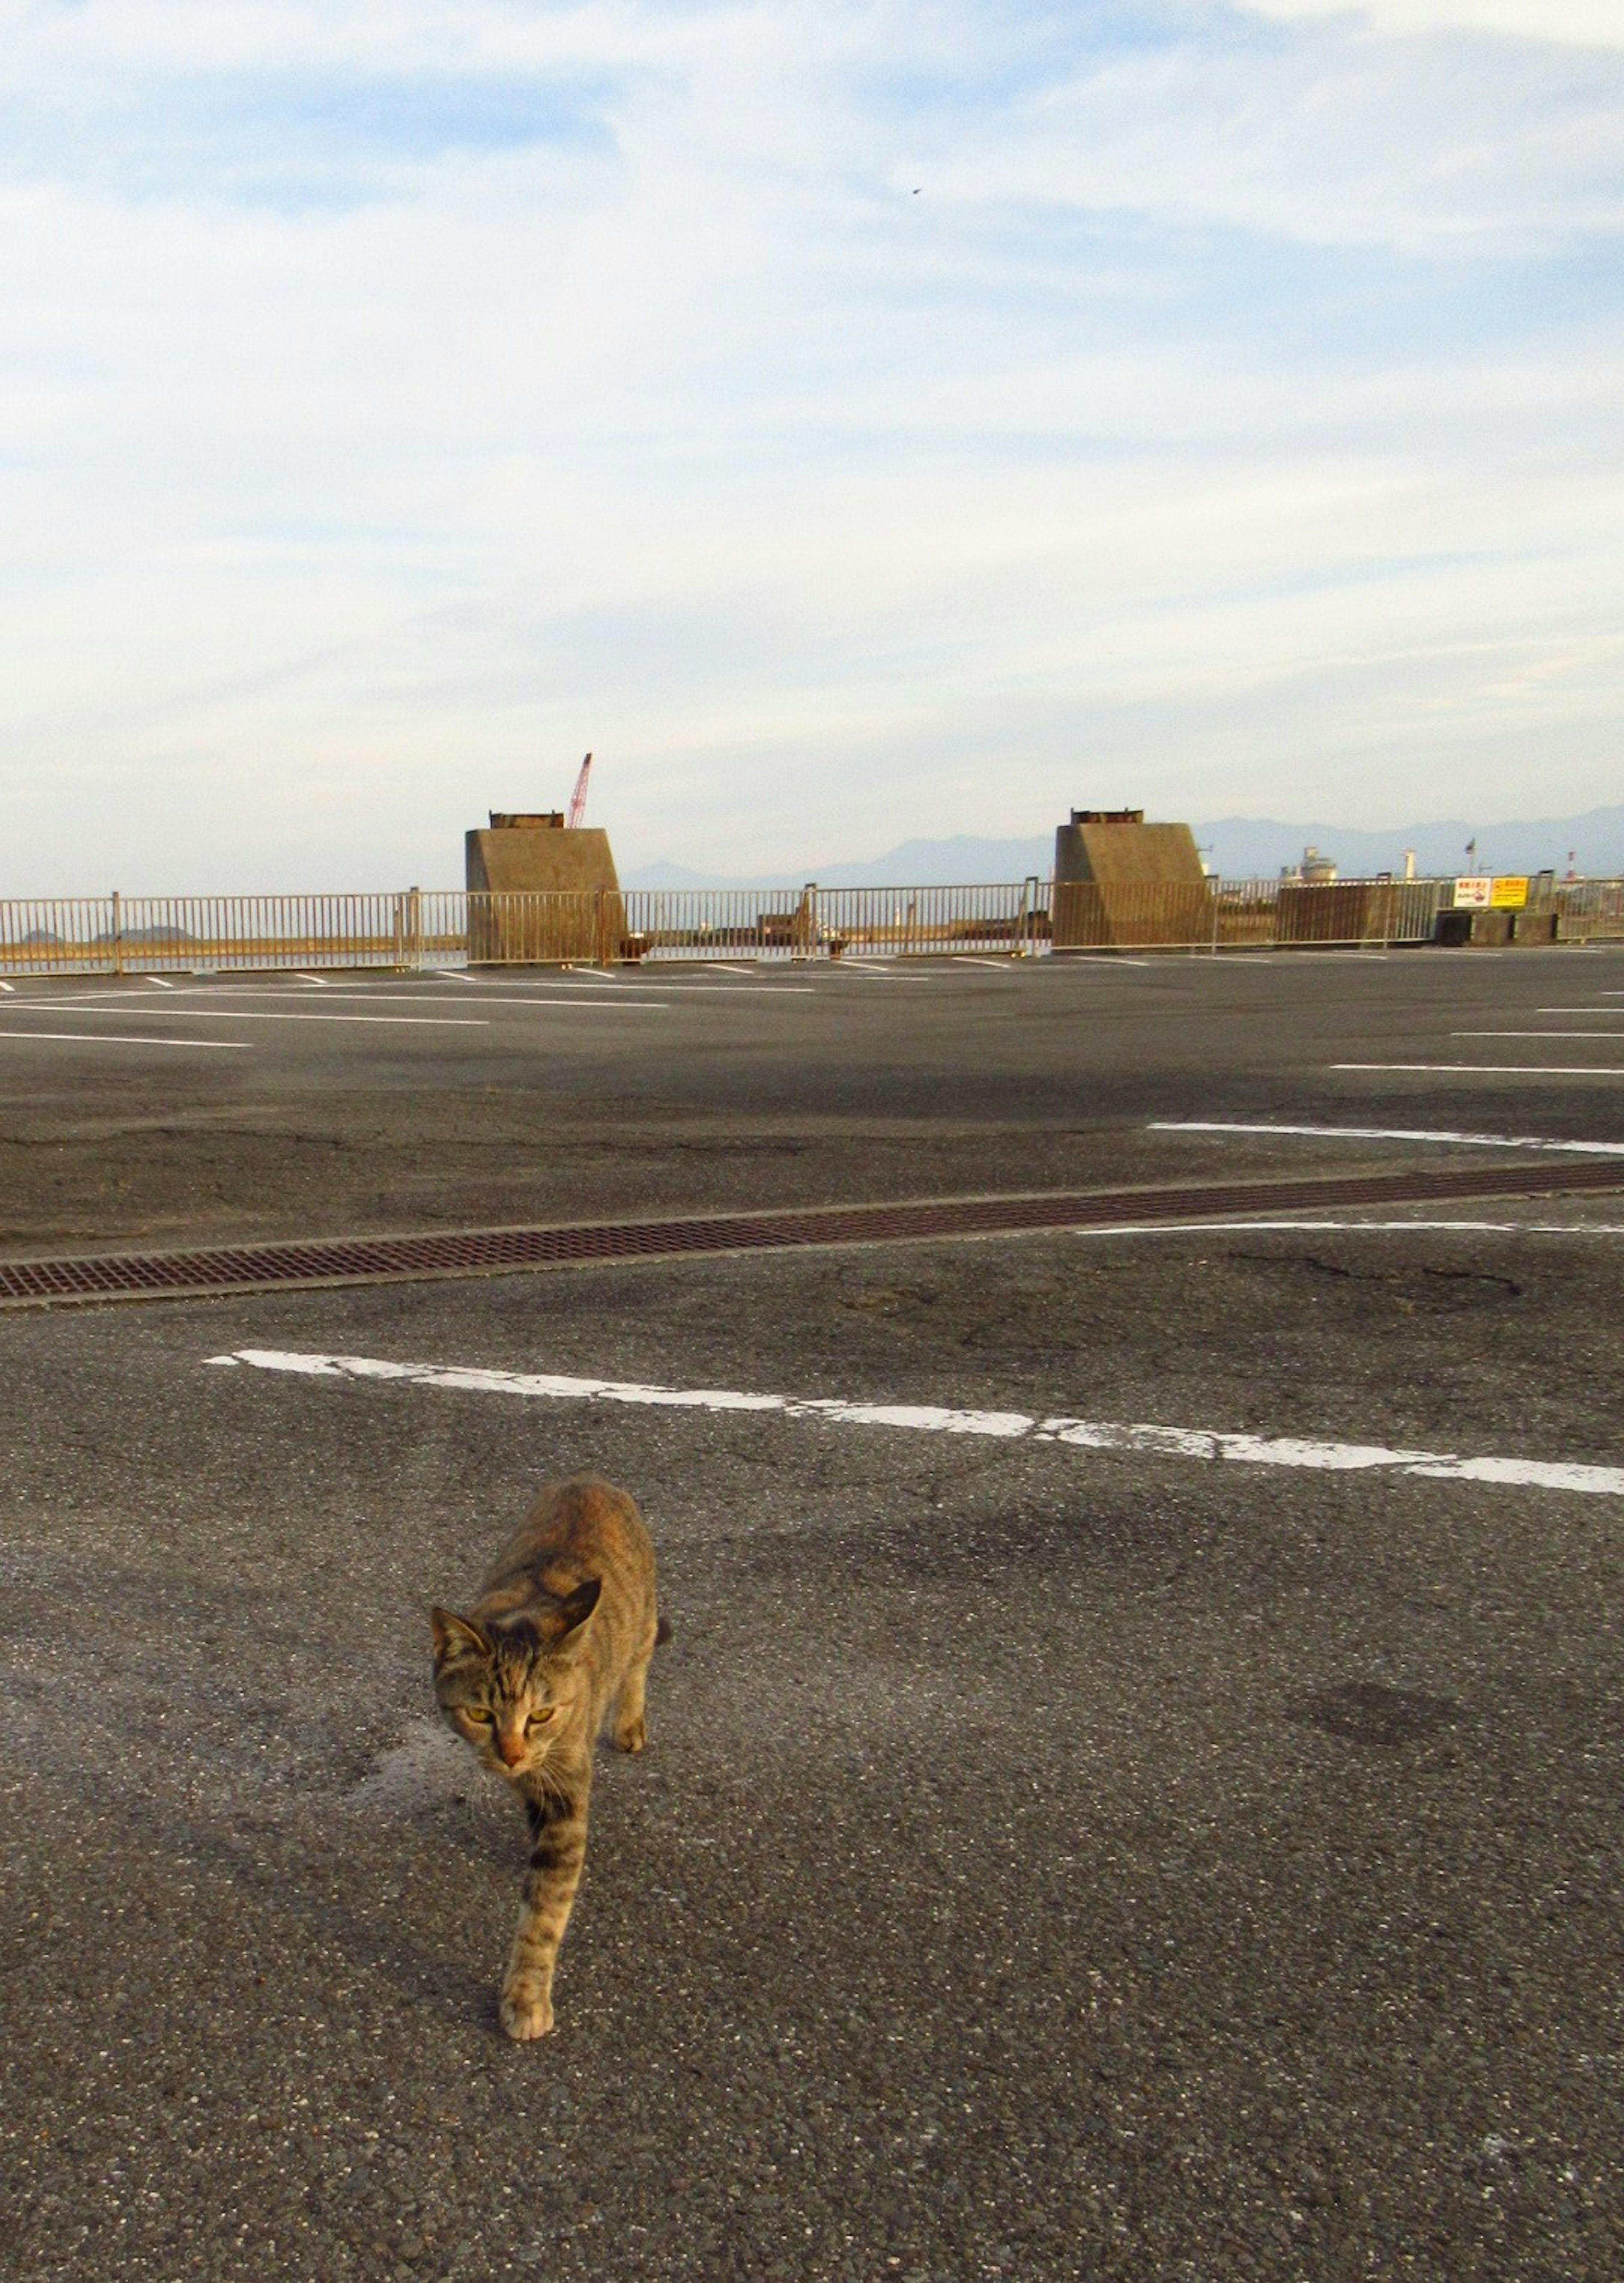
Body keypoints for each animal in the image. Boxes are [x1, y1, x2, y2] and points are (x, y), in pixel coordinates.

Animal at [431, 1479, 666, 2055]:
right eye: (480, 1714)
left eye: (541, 1714)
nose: (512, 1754)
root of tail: (592, 1478)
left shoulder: (564, 1793)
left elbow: (544, 1910)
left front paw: (525, 1997)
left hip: (645, 1618)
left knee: (640, 1660)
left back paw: (629, 1721)